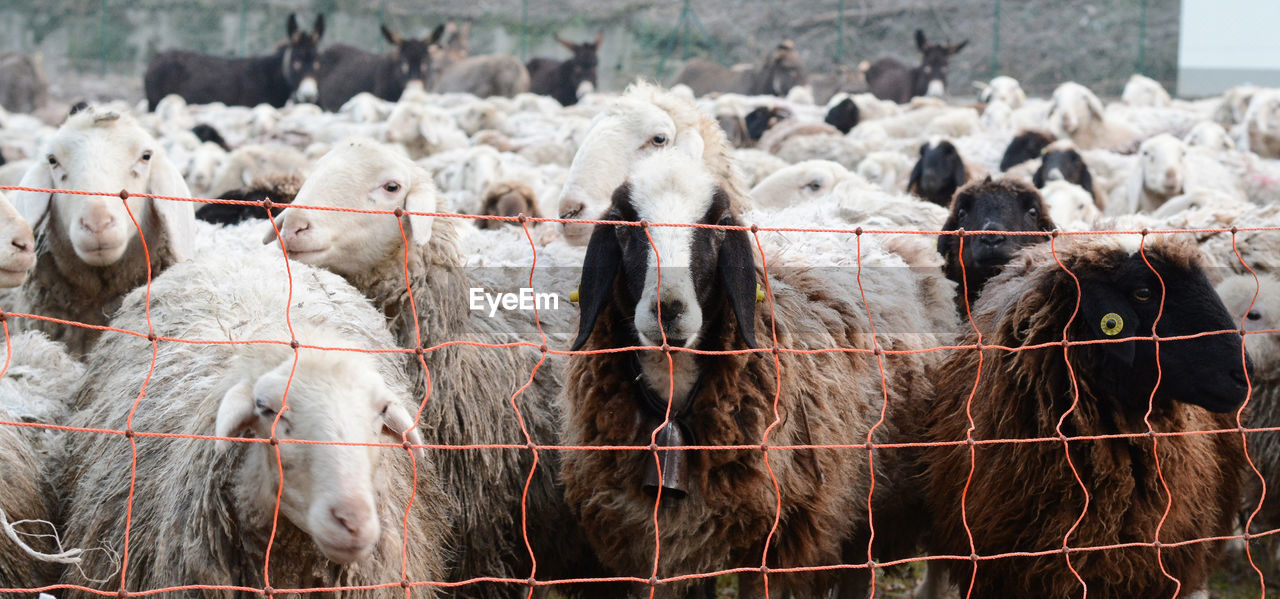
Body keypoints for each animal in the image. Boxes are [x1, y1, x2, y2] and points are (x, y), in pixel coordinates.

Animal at [568, 128, 952, 596]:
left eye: (718, 223)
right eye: (624, 225)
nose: (668, 309)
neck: (674, 399)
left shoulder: (779, 535)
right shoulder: (652, 539)